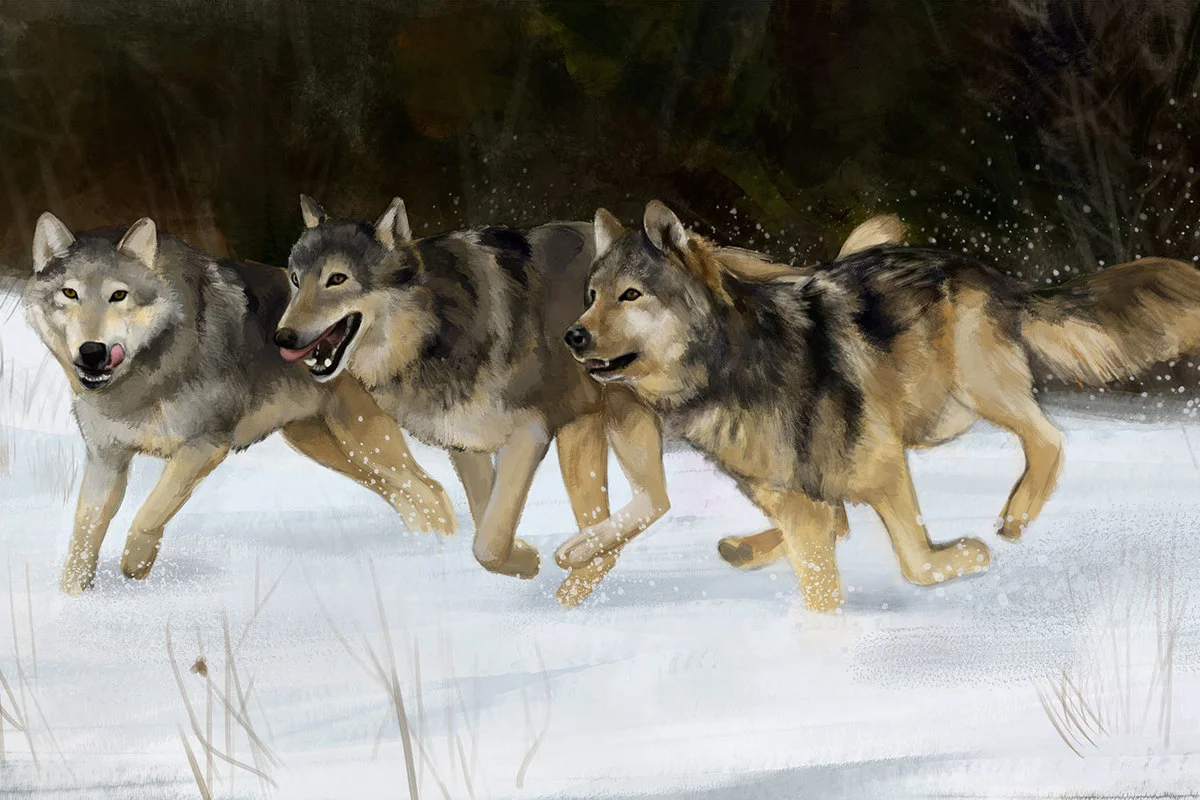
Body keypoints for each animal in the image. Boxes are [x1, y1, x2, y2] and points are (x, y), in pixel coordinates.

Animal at [24, 213, 456, 594]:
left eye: (118, 295)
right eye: (69, 293)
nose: (92, 352)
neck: (144, 377)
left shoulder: (205, 446)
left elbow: (149, 513)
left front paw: (135, 565)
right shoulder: (106, 460)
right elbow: (82, 541)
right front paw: (73, 604)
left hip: (365, 442)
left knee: (432, 490)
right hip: (329, 448)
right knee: (412, 496)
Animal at [273, 196, 672, 605]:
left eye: (337, 279)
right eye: (295, 279)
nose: (283, 338)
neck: (433, 329)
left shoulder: (530, 433)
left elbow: (488, 544)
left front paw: (526, 560)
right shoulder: (465, 444)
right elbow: (484, 520)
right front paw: (523, 557)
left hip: (610, 418)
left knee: (656, 500)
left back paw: (571, 563)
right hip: (582, 427)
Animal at [564, 200, 1200, 613]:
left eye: (631, 295)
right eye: (592, 296)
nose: (571, 335)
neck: (735, 364)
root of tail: (990, 272)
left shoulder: (883, 465)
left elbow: (914, 563)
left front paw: (968, 557)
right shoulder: (799, 496)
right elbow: (822, 576)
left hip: (971, 389)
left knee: (1050, 438)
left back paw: (1016, 516)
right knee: (836, 519)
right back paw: (742, 547)